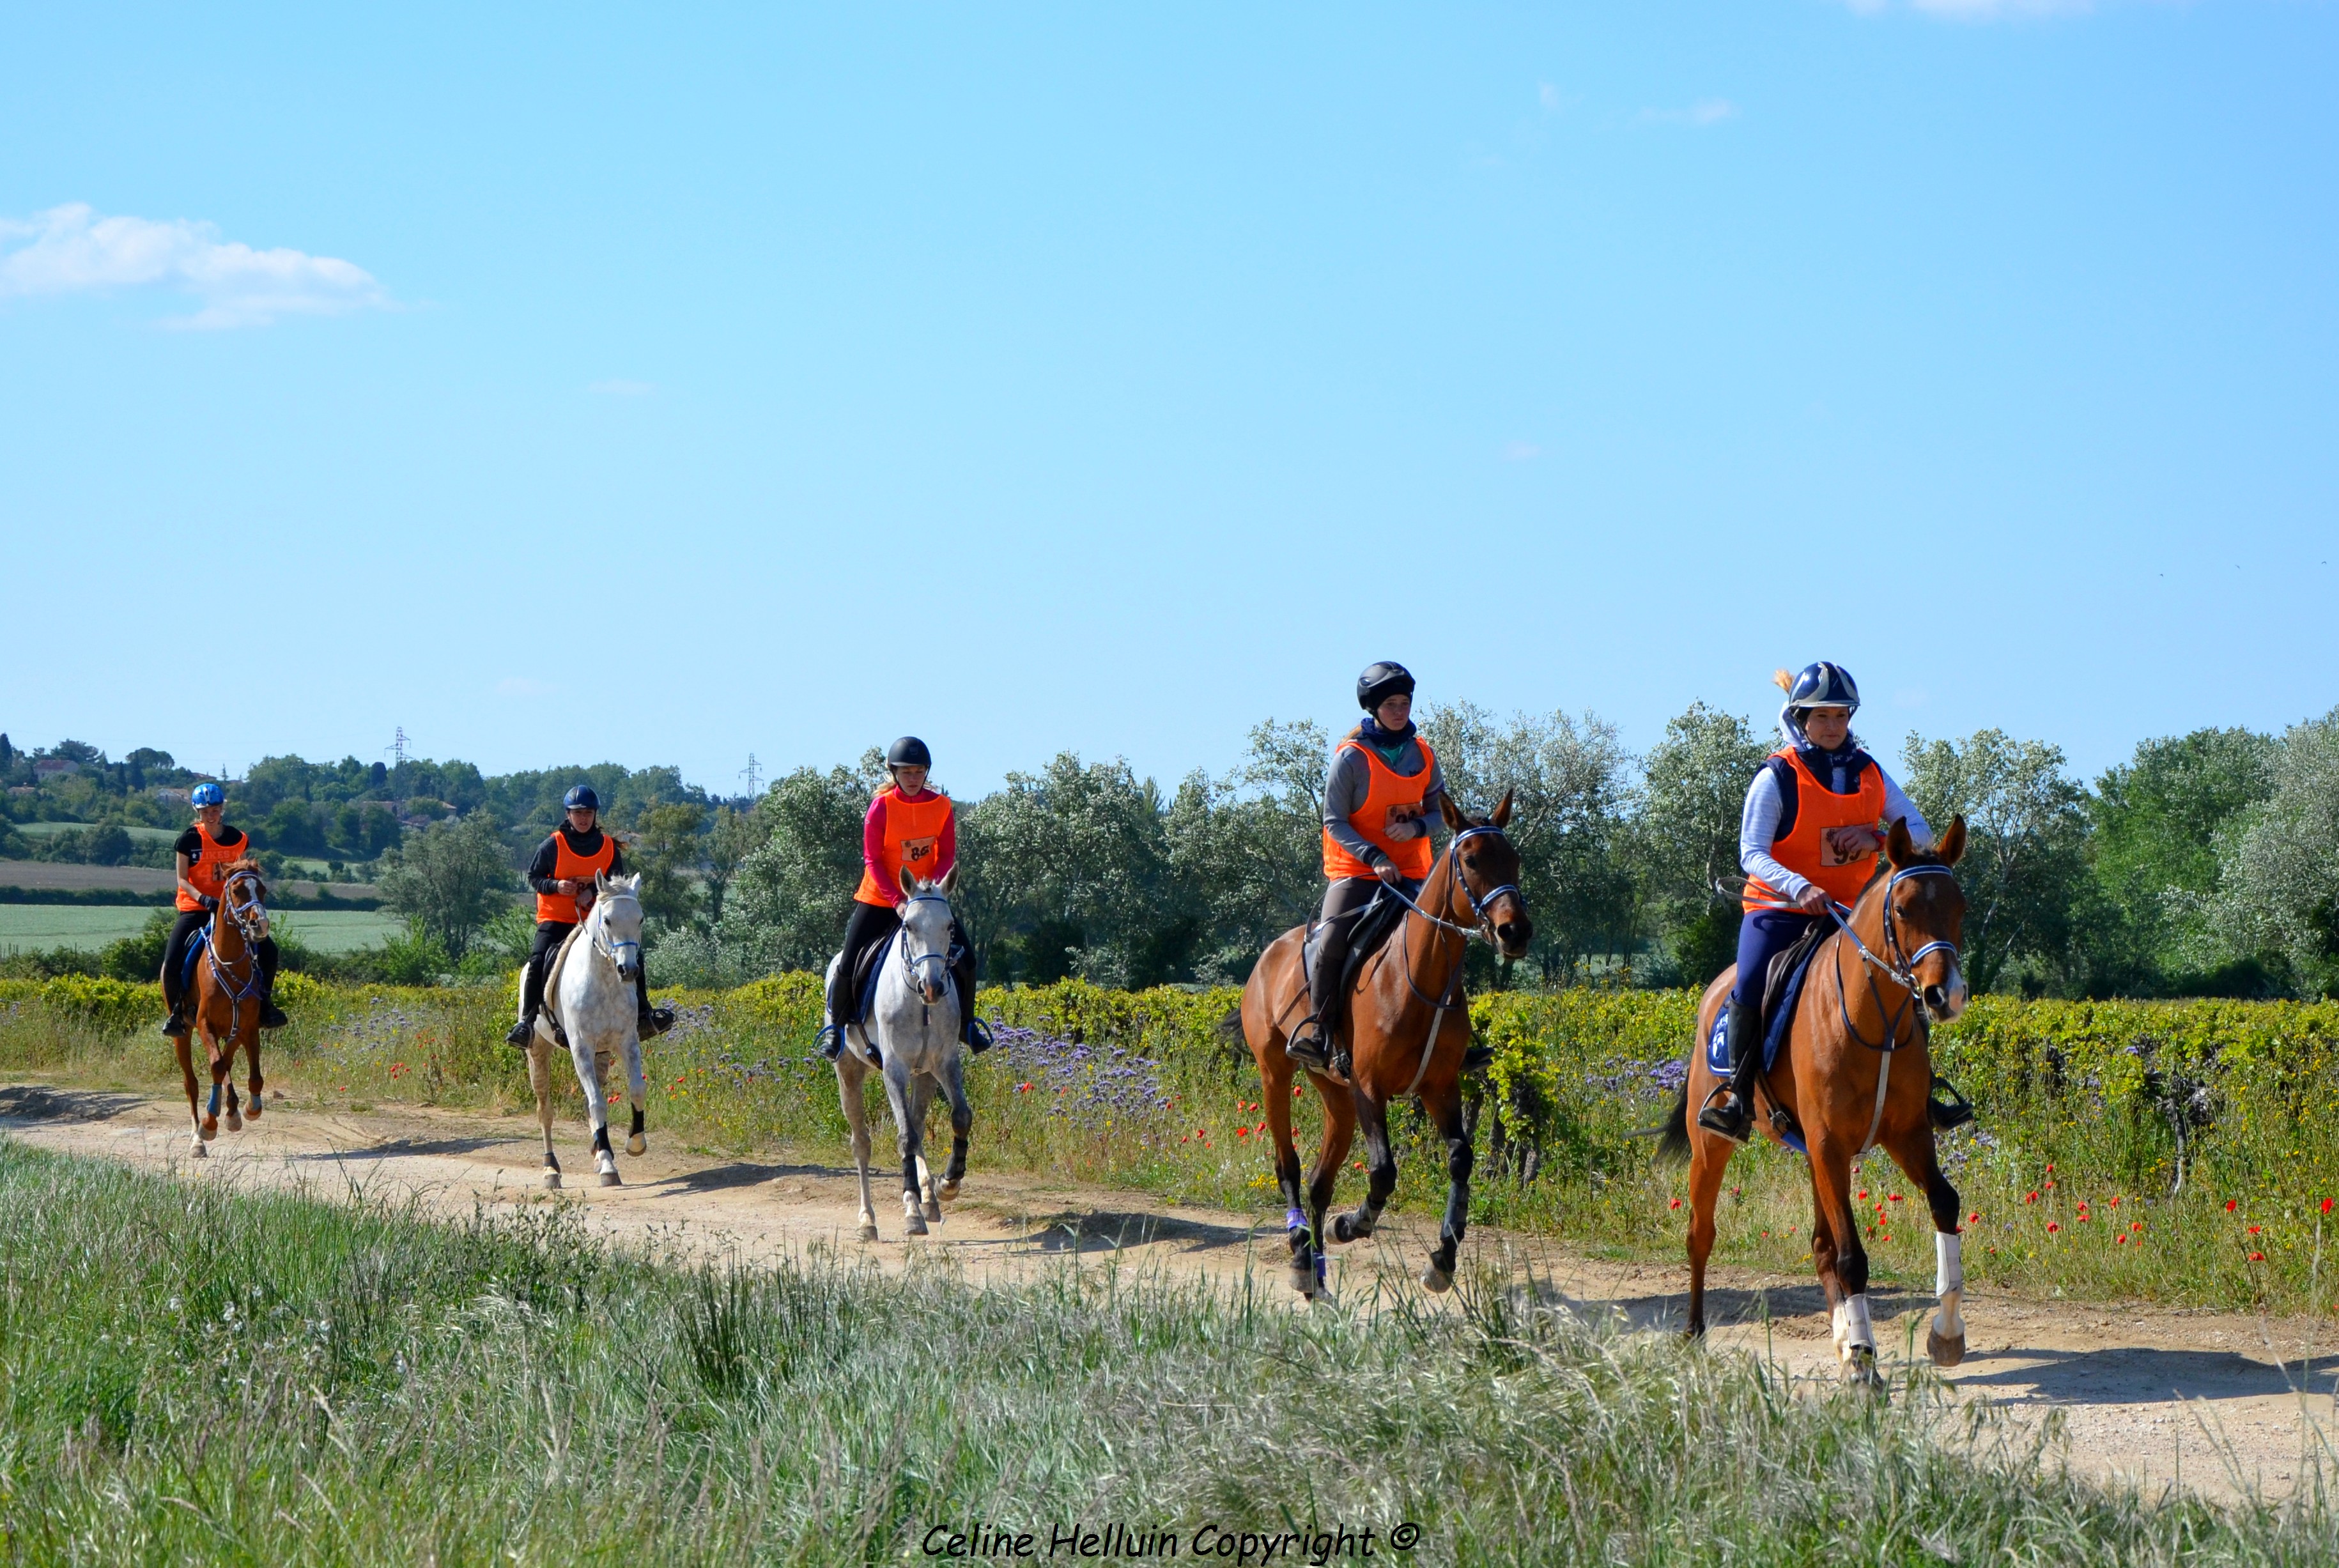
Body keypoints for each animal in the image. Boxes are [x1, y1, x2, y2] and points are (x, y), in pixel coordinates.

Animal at [175, 861, 268, 1156]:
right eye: (237, 890)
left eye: (262, 890)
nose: (260, 924)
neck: (229, 962)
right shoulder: (205, 1024)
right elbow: (217, 1064)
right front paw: (209, 1124)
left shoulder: (246, 1026)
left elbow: (246, 1072)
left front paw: (246, 1109)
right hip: (182, 1033)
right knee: (191, 1084)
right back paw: (197, 1139)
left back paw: (232, 1111)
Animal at [526, 870, 645, 1193]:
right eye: (608, 920)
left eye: (640, 919)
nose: (629, 970)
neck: (604, 980)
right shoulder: (580, 1049)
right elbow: (597, 1103)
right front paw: (608, 1166)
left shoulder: (628, 1042)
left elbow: (637, 1090)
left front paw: (635, 1144)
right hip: (537, 1052)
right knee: (545, 1111)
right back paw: (551, 1170)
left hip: (601, 1055)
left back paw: (598, 1153)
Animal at [828, 870, 973, 1245]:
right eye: (908, 925)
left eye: (950, 927)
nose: (933, 987)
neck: (919, 1004)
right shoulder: (893, 1069)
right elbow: (904, 1136)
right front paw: (911, 1211)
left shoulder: (945, 1063)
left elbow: (960, 1117)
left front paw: (949, 1183)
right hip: (849, 1073)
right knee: (862, 1143)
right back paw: (868, 1221)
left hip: (924, 1075)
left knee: (919, 1126)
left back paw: (930, 1198)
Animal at [1244, 800, 1534, 1301]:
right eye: (1472, 860)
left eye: (1513, 859)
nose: (1514, 931)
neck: (1418, 978)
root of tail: (1268, 955)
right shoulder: (1369, 1088)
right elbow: (1383, 1171)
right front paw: (1351, 1225)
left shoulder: (1440, 1088)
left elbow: (1461, 1159)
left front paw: (1443, 1259)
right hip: (1276, 1074)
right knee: (1289, 1167)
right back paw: (1301, 1257)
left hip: (1335, 1095)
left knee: (1320, 1182)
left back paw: (1317, 1276)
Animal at [1665, 819, 1974, 1394]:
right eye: (1903, 909)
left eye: (1959, 906)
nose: (1947, 996)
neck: (1873, 1019)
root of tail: (1714, 991)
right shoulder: (1831, 1146)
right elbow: (1853, 1257)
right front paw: (1865, 1359)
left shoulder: (1907, 1134)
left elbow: (1944, 1204)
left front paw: (1944, 1335)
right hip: (1712, 1146)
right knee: (1701, 1234)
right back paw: (1694, 1333)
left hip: (1812, 1153)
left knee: (1818, 1244)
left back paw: (1843, 1341)